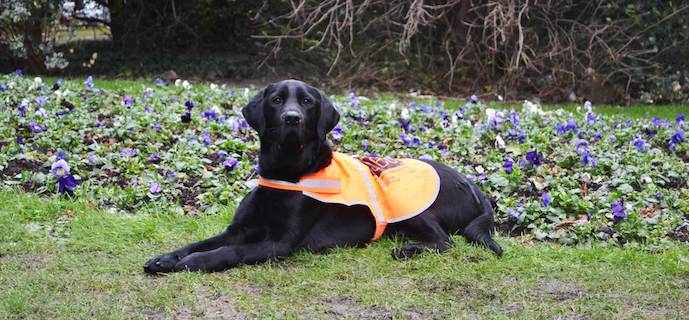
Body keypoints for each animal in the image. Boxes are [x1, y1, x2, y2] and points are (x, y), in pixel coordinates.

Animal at [144, 79, 500, 272]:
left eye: (306, 102)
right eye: (277, 100)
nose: (292, 118)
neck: (285, 175)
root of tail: (475, 186)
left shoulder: (280, 243)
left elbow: (229, 251)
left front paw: (195, 262)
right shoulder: (239, 229)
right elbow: (199, 242)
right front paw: (165, 259)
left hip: (409, 206)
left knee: (446, 241)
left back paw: (408, 249)